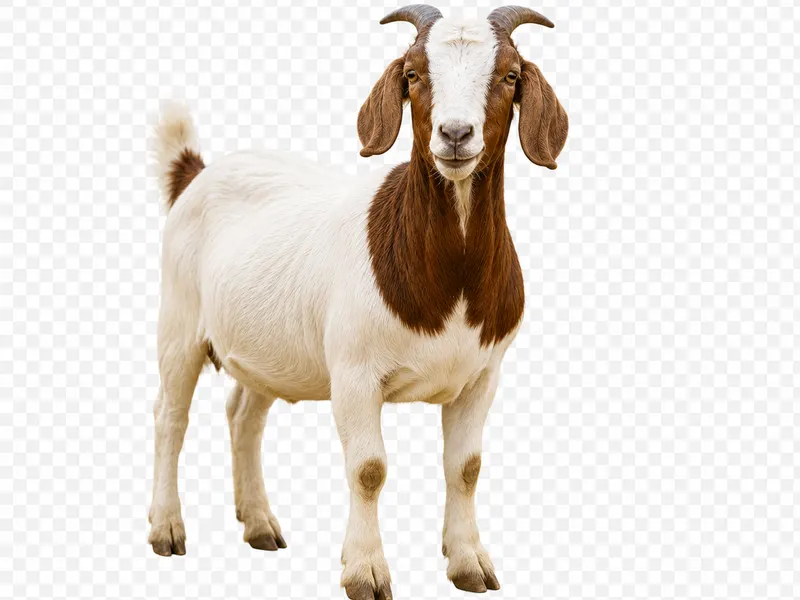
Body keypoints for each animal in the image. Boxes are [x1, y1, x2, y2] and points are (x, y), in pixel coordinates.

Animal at [148, 5, 568, 598]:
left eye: (510, 75)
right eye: (412, 74)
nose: (455, 134)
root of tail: (197, 173)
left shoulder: (483, 375)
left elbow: (465, 467)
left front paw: (468, 562)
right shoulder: (353, 373)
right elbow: (368, 469)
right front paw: (365, 572)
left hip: (269, 348)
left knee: (243, 415)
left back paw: (259, 524)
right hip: (179, 320)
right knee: (171, 416)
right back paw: (166, 529)